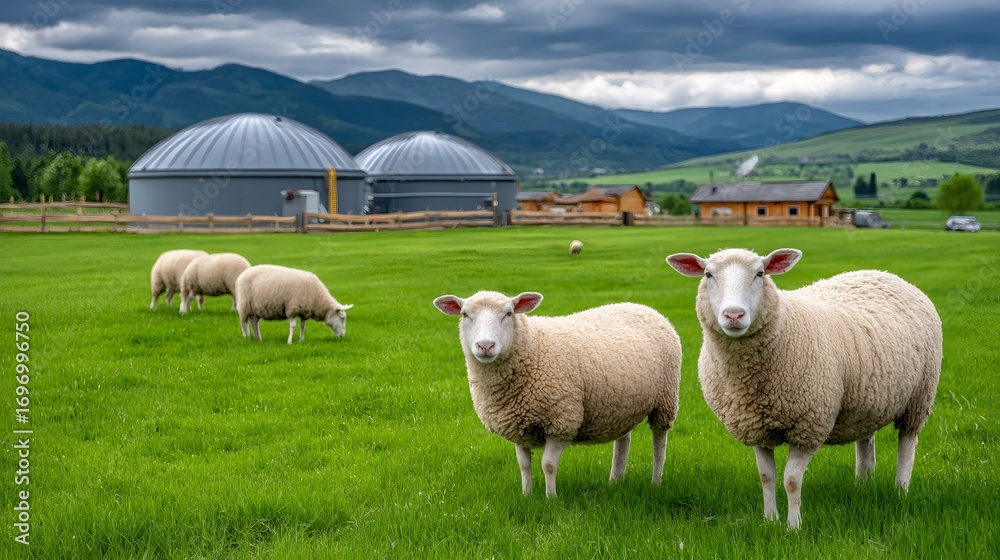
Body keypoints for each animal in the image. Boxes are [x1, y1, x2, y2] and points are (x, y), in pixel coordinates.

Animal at [433, 290, 681, 497]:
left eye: (509, 313)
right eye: (465, 314)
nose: (485, 346)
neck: (532, 346)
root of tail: (640, 305)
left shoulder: (561, 422)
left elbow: (548, 465)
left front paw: (551, 499)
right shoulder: (516, 424)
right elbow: (524, 464)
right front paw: (527, 495)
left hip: (666, 399)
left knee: (659, 443)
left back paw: (656, 482)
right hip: (622, 405)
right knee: (623, 441)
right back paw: (615, 481)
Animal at [666, 248, 942, 529]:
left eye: (760, 273)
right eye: (708, 274)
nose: (734, 315)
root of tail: (883, 273)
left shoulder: (810, 426)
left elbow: (791, 480)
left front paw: (793, 526)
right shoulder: (755, 426)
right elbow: (766, 476)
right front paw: (770, 520)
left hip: (920, 396)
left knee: (907, 444)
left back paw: (901, 491)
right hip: (868, 401)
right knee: (866, 445)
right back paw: (862, 486)